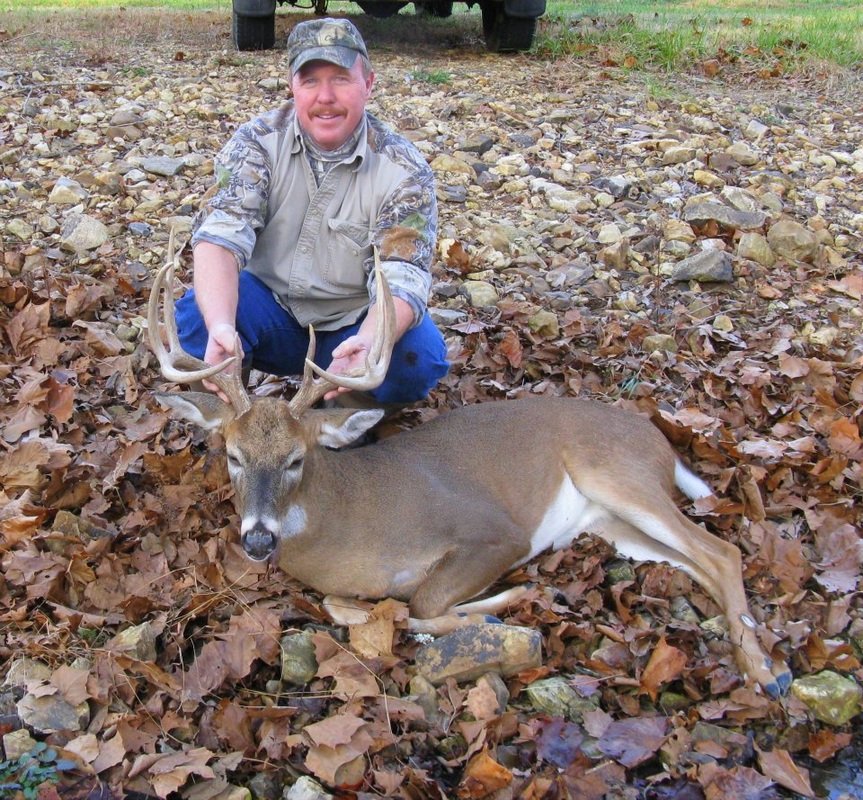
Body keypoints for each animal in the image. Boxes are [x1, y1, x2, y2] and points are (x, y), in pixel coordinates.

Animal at [147, 238, 792, 700]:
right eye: (232, 455)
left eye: (297, 459)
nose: (258, 539)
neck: (347, 522)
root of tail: (659, 439)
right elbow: (368, 609)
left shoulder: (494, 533)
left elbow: (421, 607)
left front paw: (516, 601)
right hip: (612, 523)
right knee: (698, 563)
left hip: (617, 474)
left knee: (721, 551)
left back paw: (767, 673)